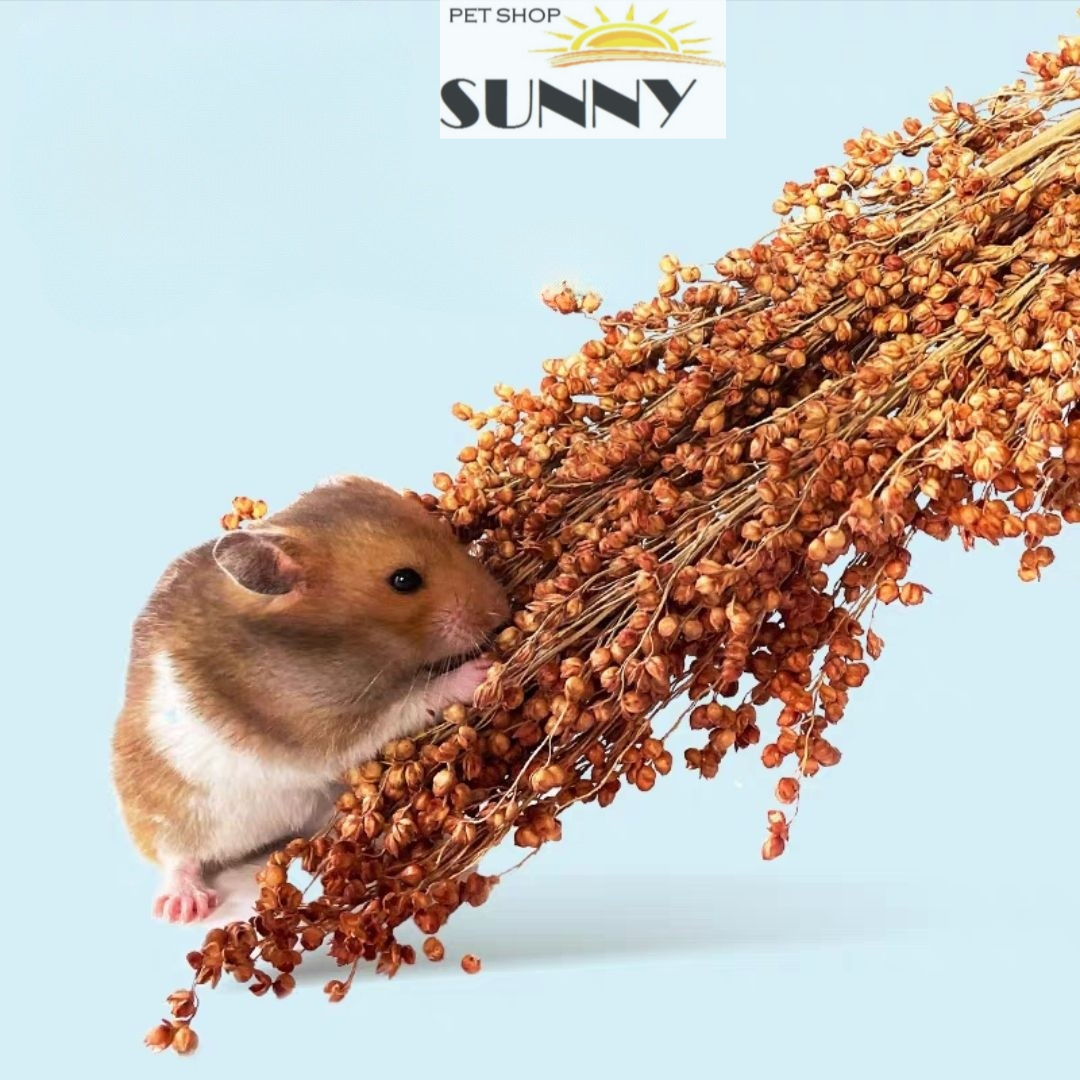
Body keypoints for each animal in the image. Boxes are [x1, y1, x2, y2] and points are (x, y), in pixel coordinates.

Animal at [111, 475, 509, 923]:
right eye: (404, 580)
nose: (504, 610)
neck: (331, 646)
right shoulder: (326, 723)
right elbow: (411, 700)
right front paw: (481, 669)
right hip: (163, 808)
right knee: (175, 857)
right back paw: (183, 906)